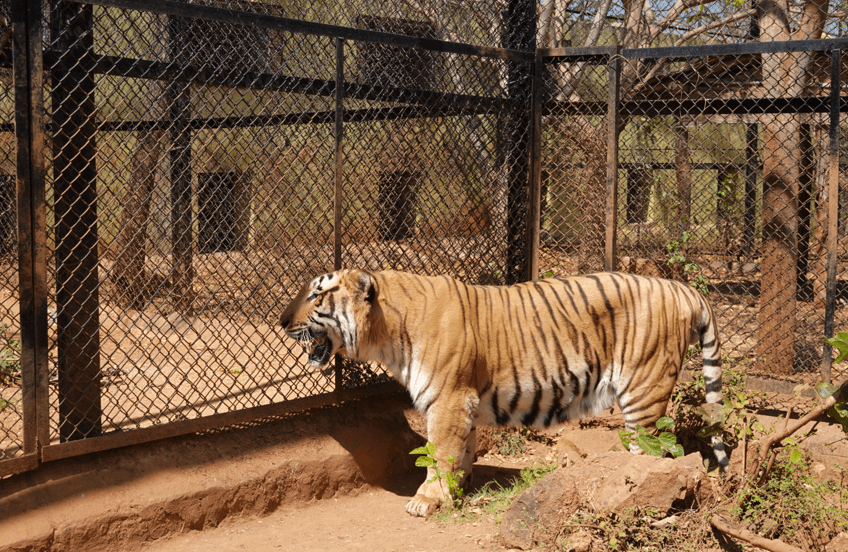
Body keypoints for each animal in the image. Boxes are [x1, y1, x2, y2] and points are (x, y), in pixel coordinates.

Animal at [279, 269, 728, 517]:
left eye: (316, 295)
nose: (282, 320)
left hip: (644, 393)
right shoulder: (463, 403)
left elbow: (439, 453)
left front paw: (427, 499)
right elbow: (461, 450)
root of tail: (683, 288)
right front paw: (457, 491)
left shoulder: (448, 399)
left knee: (655, 454)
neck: (386, 331)